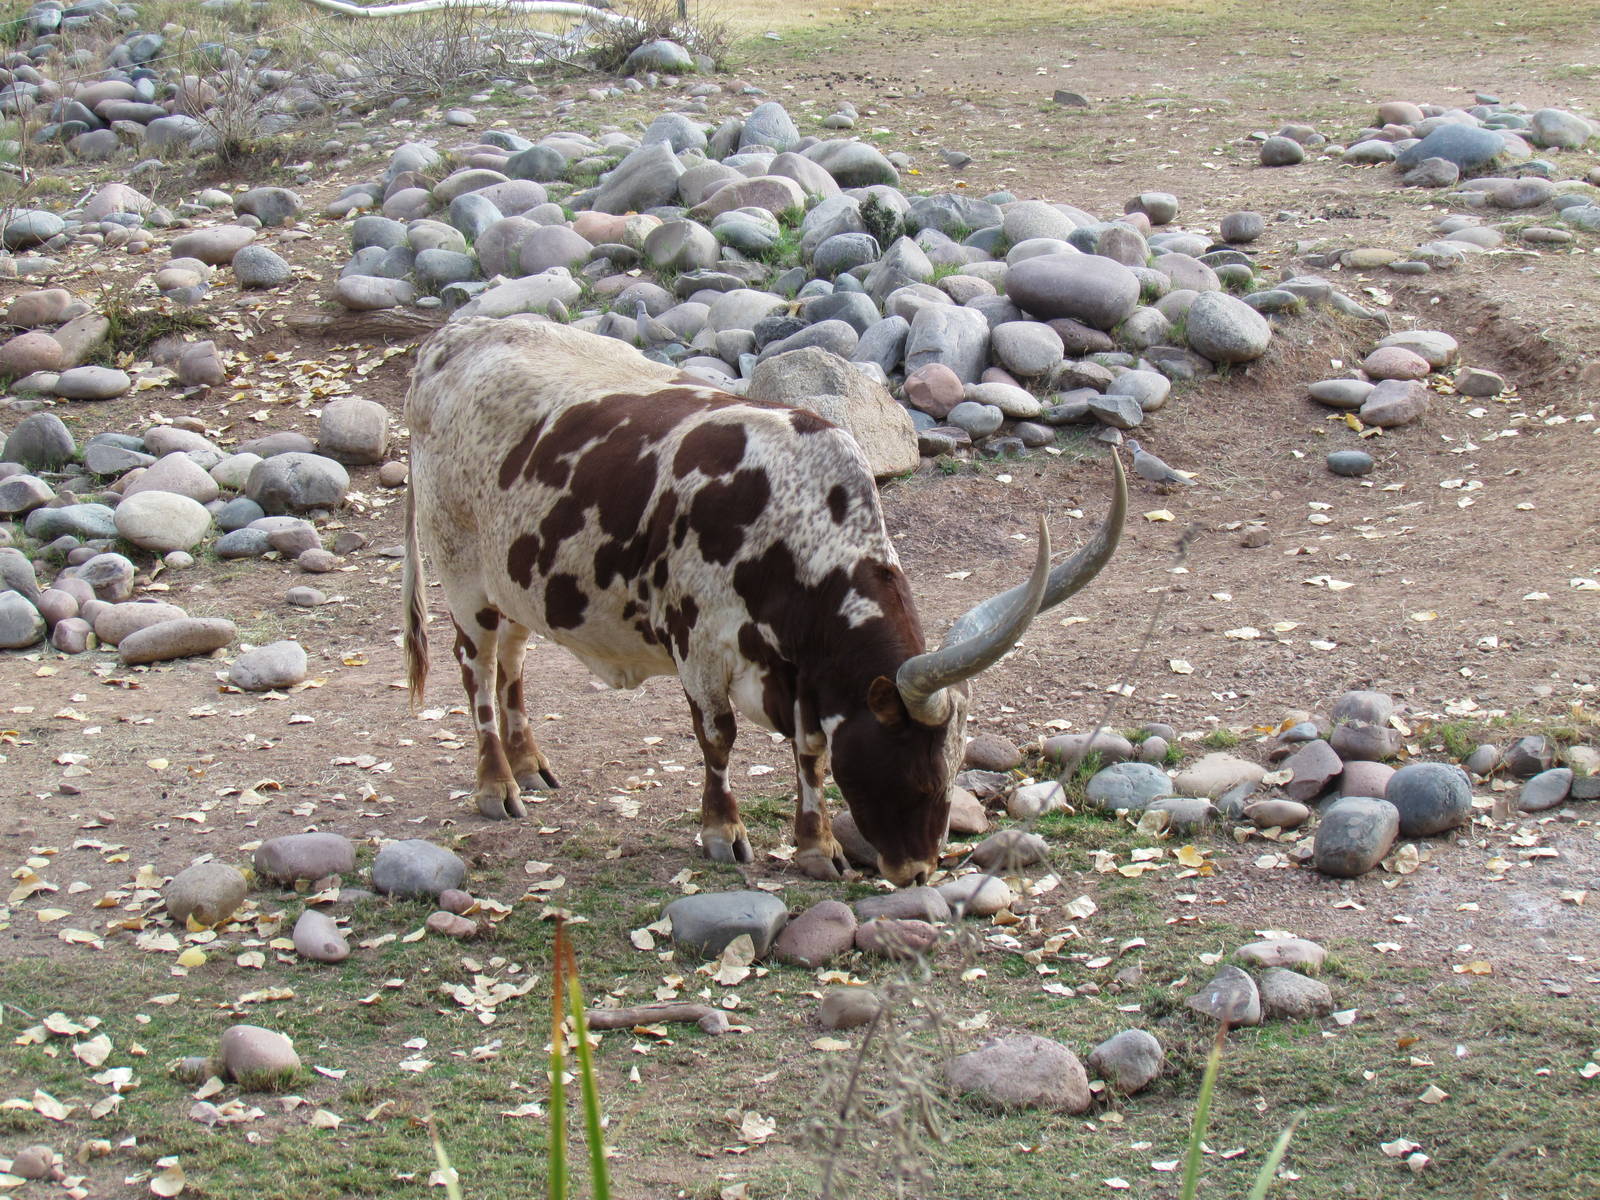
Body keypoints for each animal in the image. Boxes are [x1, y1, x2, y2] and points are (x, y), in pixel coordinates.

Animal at [402, 317, 1126, 887]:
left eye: (953, 776)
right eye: (919, 780)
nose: (919, 872)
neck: (790, 522)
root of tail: (451, 339)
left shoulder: (803, 675)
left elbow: (809, 751)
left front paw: (817, 847)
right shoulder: (698, 647)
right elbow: (717, 739)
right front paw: (723, 832)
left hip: (517, 580)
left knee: (511, 662)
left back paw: (530, 764)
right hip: (462, 576)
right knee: (476, 671)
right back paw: (496, 784)